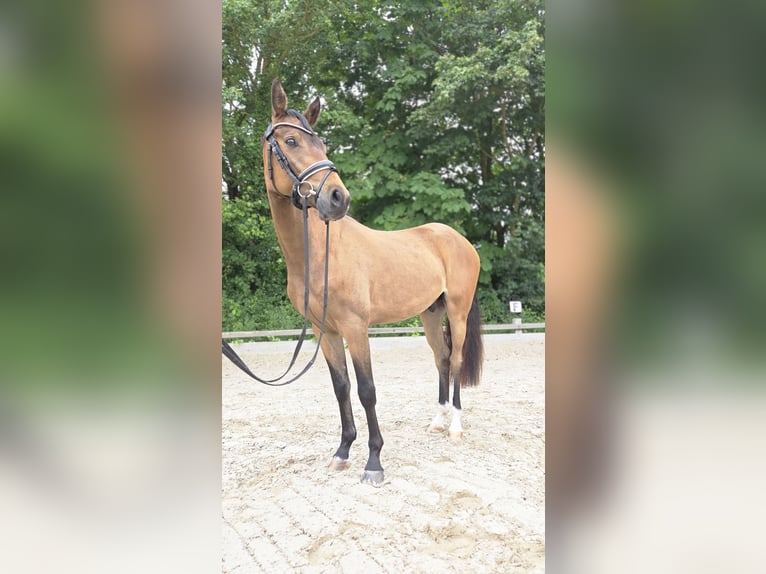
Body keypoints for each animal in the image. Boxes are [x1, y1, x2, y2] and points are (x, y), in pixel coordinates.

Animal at [258, 78, 483, 485]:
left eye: (322, 144)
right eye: (291, 141)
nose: (337, 198)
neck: (321, 253)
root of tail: (459, 240)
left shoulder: (355, 327)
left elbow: (366, 391)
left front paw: (374, 461)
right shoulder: (326, 331)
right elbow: (342, 388)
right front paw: (342, 452)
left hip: (457, 314)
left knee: (457, 360)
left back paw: (456, 426)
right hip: (430, 314)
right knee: (441, 359)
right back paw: (437, 421)